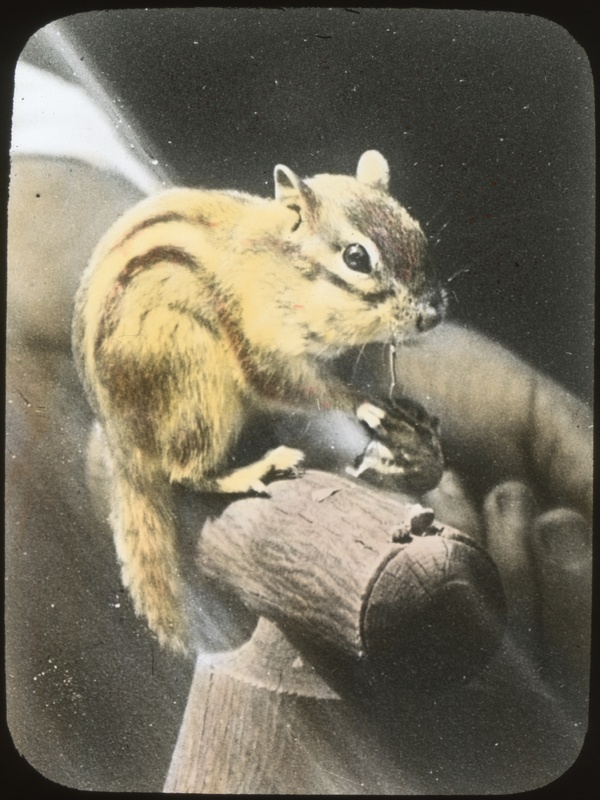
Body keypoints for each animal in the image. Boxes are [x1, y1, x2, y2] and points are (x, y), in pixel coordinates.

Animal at [72, 150, 446, 653]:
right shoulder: (256, 338)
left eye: (417, 230)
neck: (282, 270)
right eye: (356, 257)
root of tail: (122, 447)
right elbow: (286, 383)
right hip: (196, 382)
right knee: (184, 473)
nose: (433, 314)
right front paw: (363, 404)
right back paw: (251, 470)